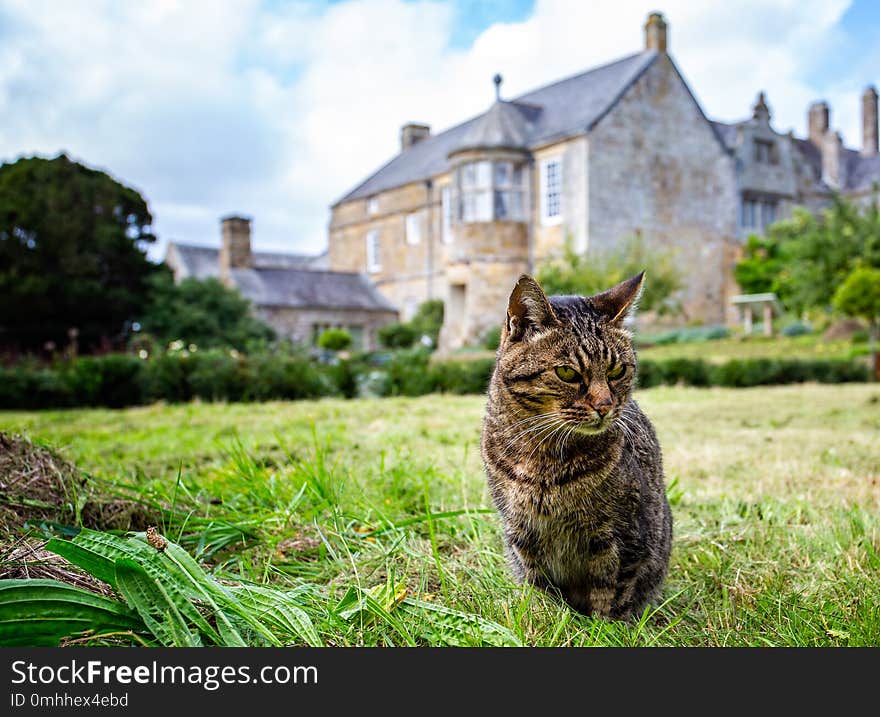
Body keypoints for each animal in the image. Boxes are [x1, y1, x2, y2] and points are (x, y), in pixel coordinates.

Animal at [478, 272, 672, 620]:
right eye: (567, 372)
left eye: (617, 370)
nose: (605, 406)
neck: (541, 457)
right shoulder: (522, 534)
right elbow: (541, 590)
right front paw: (549, 617)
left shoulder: (624, 537)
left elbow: (611, 595)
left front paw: (604, 627)